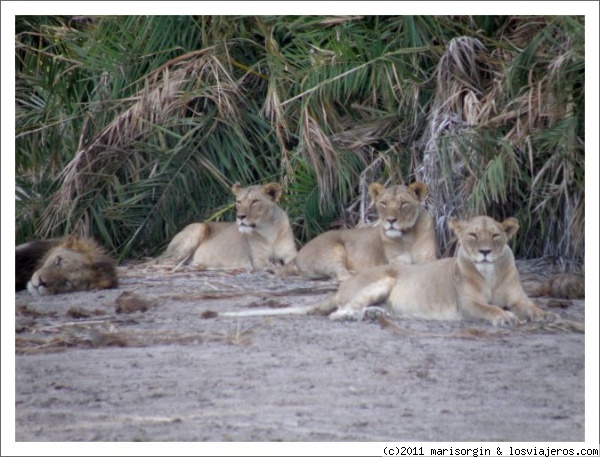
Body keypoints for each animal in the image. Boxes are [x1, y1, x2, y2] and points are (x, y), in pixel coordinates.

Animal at [162, 180, 298, 268]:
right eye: (239, 202)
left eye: (254, 201)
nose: (240, 216)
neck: (269, 230)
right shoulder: (259, 260)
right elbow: (269, 264)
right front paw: (276, 264)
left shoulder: (291, 253)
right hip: (198, 228)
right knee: (163, 261)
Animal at [276, 180, 436, 280]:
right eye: (383, 203)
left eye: (404, 203)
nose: (390, 220)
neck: (408, 237)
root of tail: (298, 255)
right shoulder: (397, 262)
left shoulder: (428, 258)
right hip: (331, 250)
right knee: (341, 275)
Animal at [322, 214, 560, 324]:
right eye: (472, 235)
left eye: (495, 235)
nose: (485, 252)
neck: (490, 274)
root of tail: (342, 287)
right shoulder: (468, 304)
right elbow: (490, 308)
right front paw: (504, 317)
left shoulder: (519, 299)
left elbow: (532, 307)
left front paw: (548, 315)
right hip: (383, 280)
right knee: (337, 312)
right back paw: (356, 316)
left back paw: (374, 313)